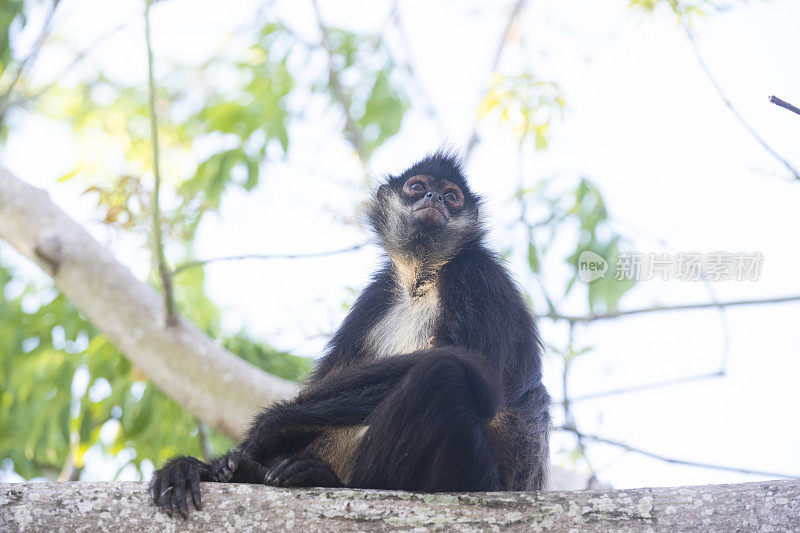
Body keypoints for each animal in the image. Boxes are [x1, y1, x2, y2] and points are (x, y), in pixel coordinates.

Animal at [150, 152, 552, 516]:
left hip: (473, 476)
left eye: (452, 196)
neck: (423, 278)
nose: (434, 198)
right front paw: (212, 464)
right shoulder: (378, 294)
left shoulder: (476, 276)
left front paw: (264, 430)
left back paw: (326, 478)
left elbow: (478, 375)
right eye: (416, 187)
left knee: (443, 375)